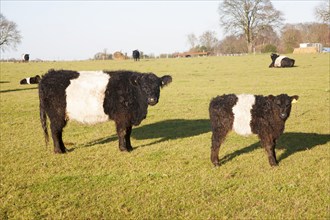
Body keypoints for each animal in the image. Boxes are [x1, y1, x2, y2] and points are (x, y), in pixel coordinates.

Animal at [38, 69, 173, 154]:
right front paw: (123, 149)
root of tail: (47, 76)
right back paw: (59, 151)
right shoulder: (122, 117)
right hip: (56, 114)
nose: (152, 99)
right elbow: (122, 132)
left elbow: (128, 133)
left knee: (58, 132)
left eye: (158, 86)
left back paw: (64, 149)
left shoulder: (128, 117)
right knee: (55, 131)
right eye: (144, 87)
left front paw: (130, 147)